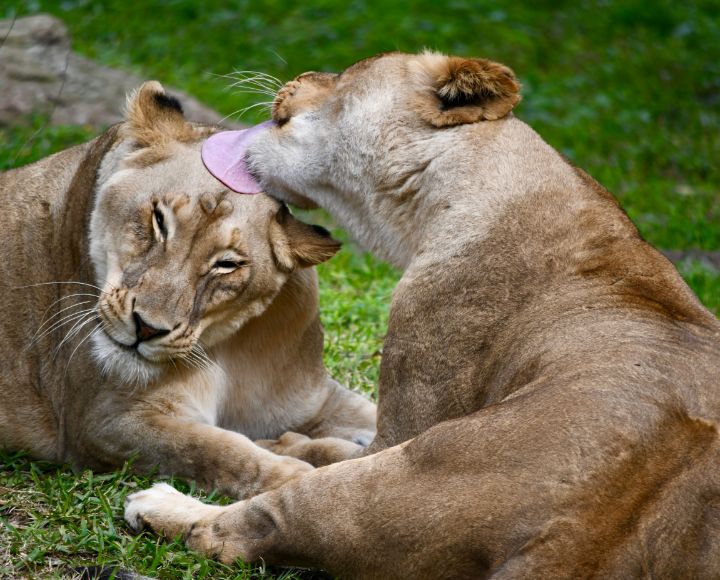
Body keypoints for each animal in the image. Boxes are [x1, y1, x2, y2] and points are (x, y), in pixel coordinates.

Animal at [1, 81, 376, 498]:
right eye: (159, 219)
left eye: (227, 264)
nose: (146, 327)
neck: (230, 346)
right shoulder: (103, 421)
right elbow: (218, 450)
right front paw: (298, 478)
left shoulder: (315, 400)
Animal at [128, 52, 720, 576]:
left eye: (347, 71)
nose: (295, 77)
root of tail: (583, 541)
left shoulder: (410, 413)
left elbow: (326, 450)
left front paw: (290, 442)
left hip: (407, 474)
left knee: (253, 526)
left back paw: (162, 505)